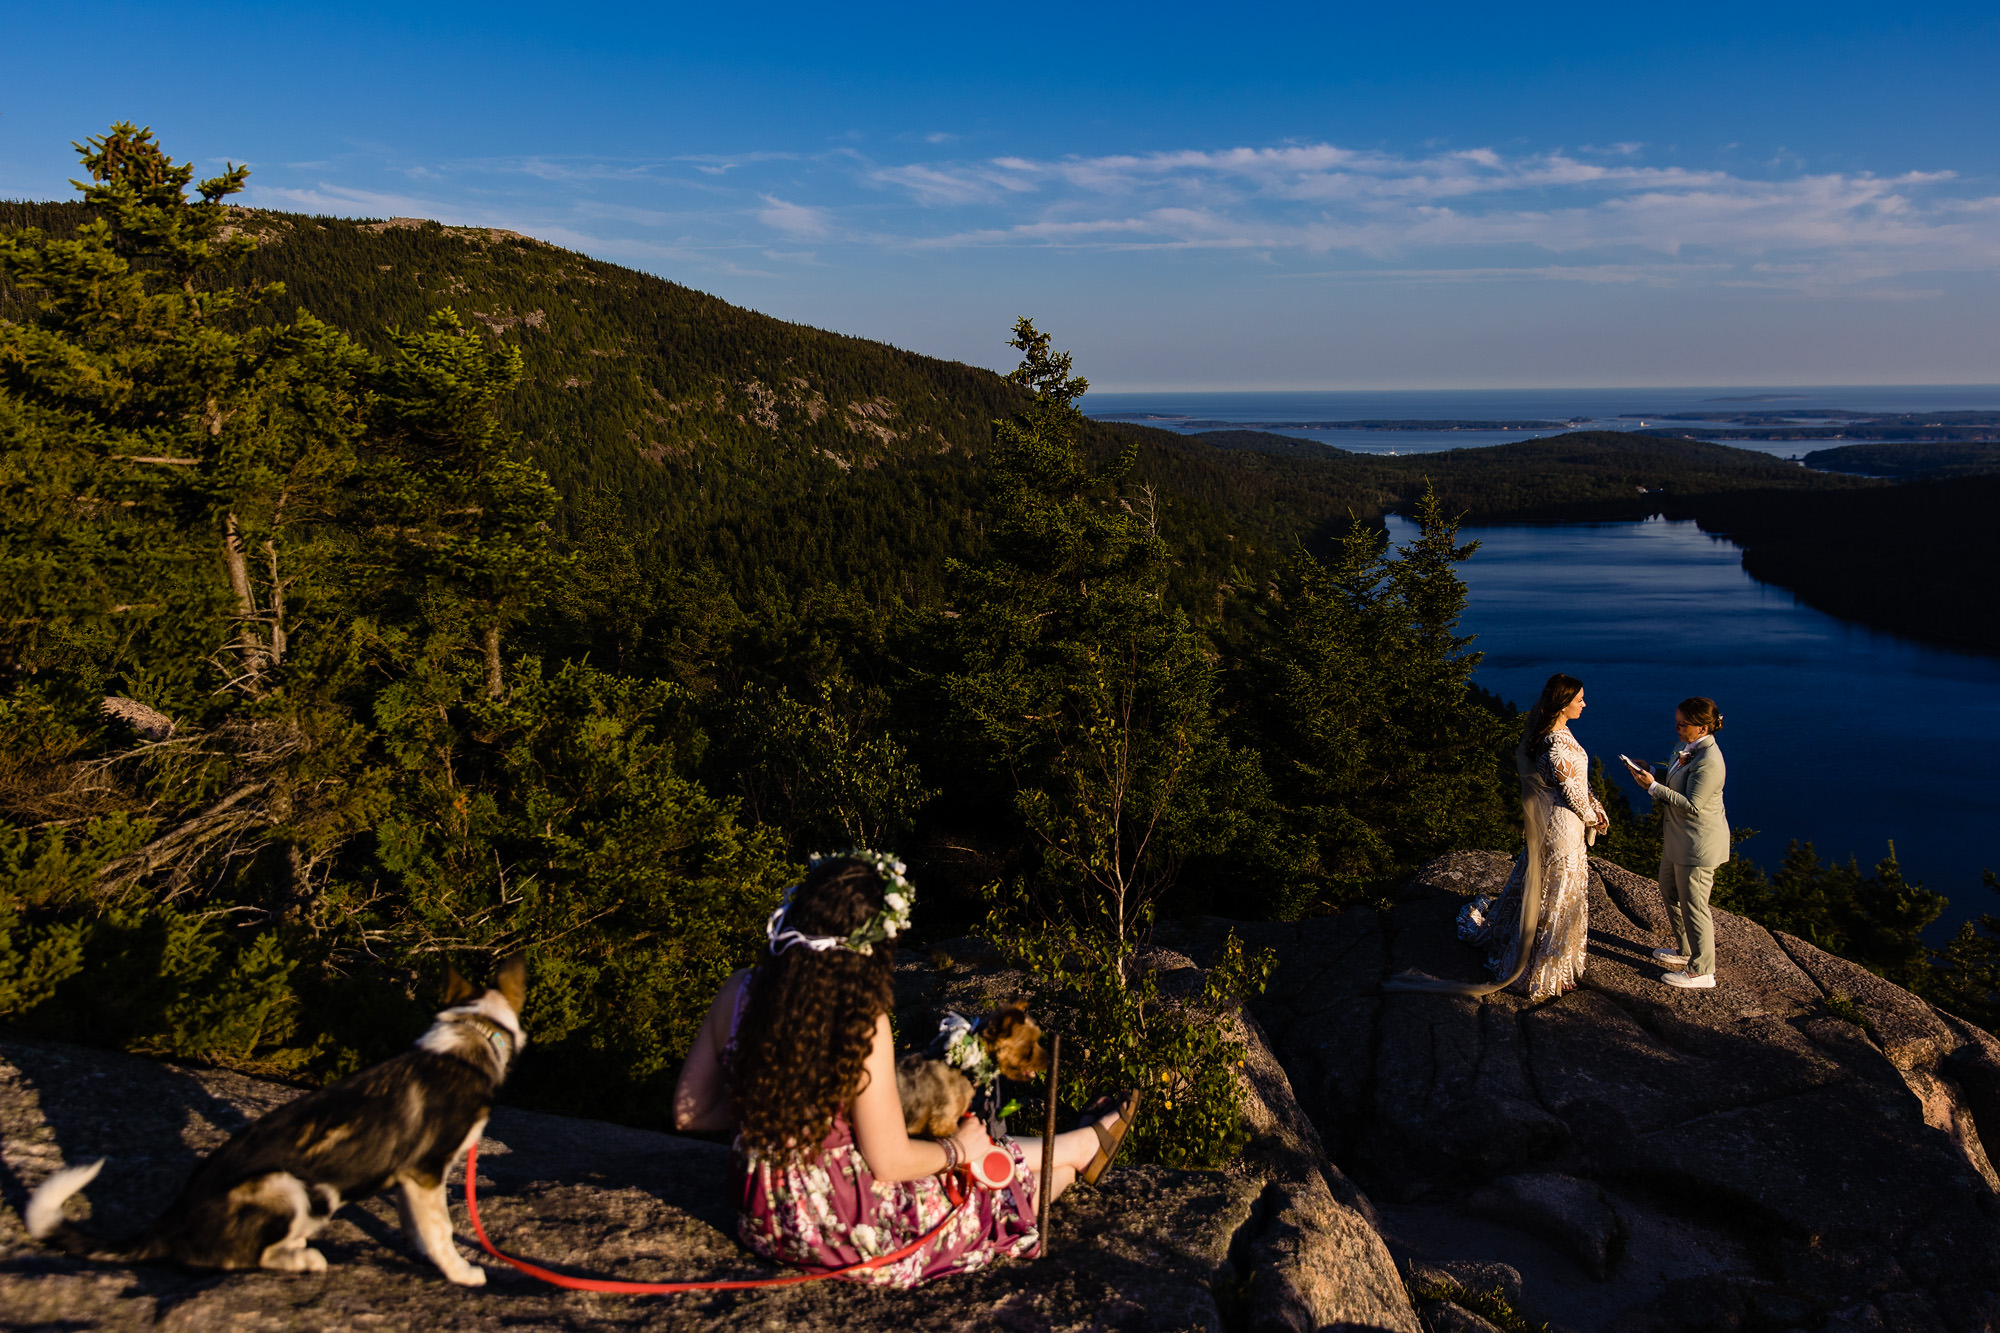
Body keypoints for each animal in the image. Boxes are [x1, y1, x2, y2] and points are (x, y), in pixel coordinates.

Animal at [27, 948, 528, 1280]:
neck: (474, 1033)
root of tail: (165, 1227)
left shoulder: (408, 1176)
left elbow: (416, 1226)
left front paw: (422, 1254)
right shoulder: (427, 1170)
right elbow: (442, 1229)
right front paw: (461, 1272)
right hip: (286, 1185)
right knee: (239, 1258)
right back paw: (302, 1258)